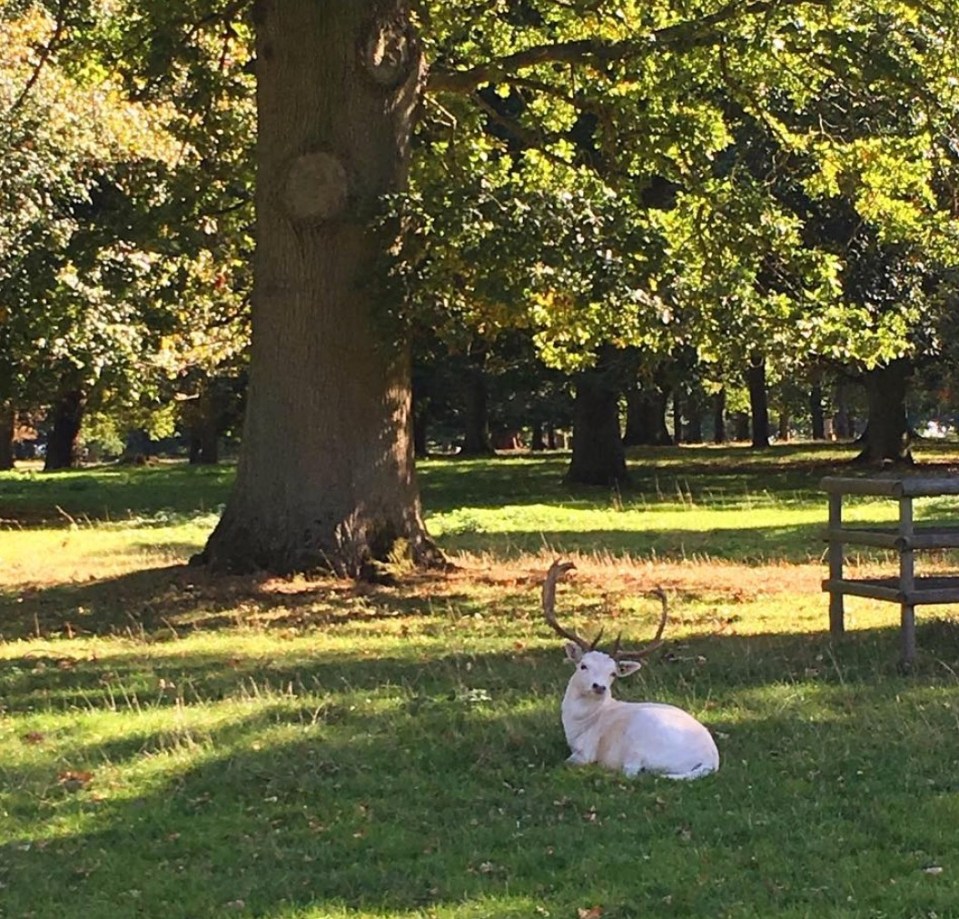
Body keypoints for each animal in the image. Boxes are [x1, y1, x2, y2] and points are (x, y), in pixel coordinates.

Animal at [540, 564, 720, 780]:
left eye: (613, 673)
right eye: (583, 665)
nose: (599, 686)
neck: (579, 726)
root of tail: (710, 760)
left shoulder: (586, 752)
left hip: (640, 742)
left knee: (632, 771)